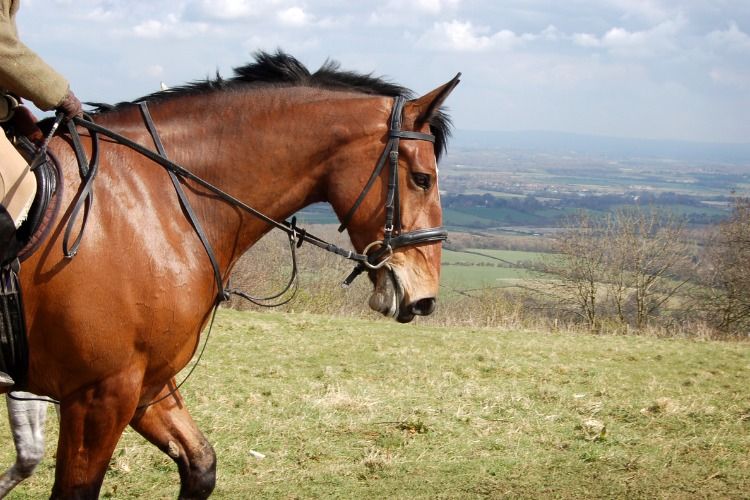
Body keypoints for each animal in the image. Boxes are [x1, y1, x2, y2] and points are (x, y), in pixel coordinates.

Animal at [10, 50, 459, 498]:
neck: (157, 197)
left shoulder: (146, 383)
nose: (425, 300)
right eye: (422, 179)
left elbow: (201, 465)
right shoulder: (99, 394)